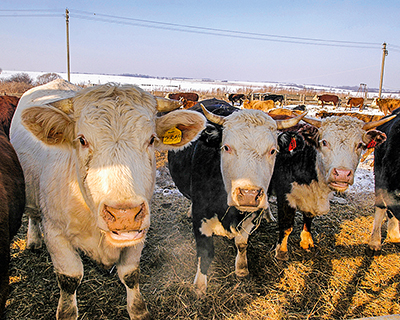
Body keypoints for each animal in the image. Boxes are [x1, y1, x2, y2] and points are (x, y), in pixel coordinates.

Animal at [10, 78, 206, 320]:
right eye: (82, 140)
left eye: (151, 139)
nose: (124, 215)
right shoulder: (55, 233)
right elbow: (69, 279)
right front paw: (67, 311)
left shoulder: (139, 232)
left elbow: (130, 274)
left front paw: (138, 310)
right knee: (33, 215)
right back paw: (34, 240)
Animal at [167, 98, 308, 296]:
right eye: (226, 147)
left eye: (273, 151)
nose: (249, 195)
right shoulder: (201, 216)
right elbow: (205, 251)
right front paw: (200, 286)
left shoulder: (252, 215)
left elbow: (242, 244)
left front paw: (241, 269)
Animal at [268, 115, 394, 260]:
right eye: (324, 142)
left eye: (360, 145)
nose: (342, 174)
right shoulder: (285, 195)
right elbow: (287, 225)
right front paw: (281, 251)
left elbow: (308, 219)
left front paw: (306, 241)